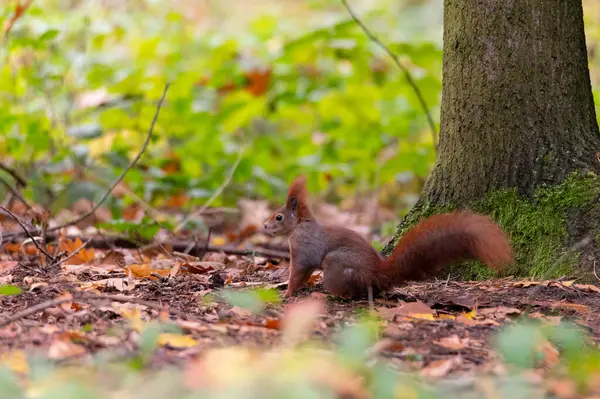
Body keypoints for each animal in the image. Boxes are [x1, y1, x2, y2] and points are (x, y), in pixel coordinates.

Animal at [264, 177, 516, 298]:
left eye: (278, 217)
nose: (264, 225)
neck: (299, 227)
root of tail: (379, 273)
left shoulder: (304, 250)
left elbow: (297, 272)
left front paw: (287, 292)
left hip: (336, 264)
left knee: (352, 292)